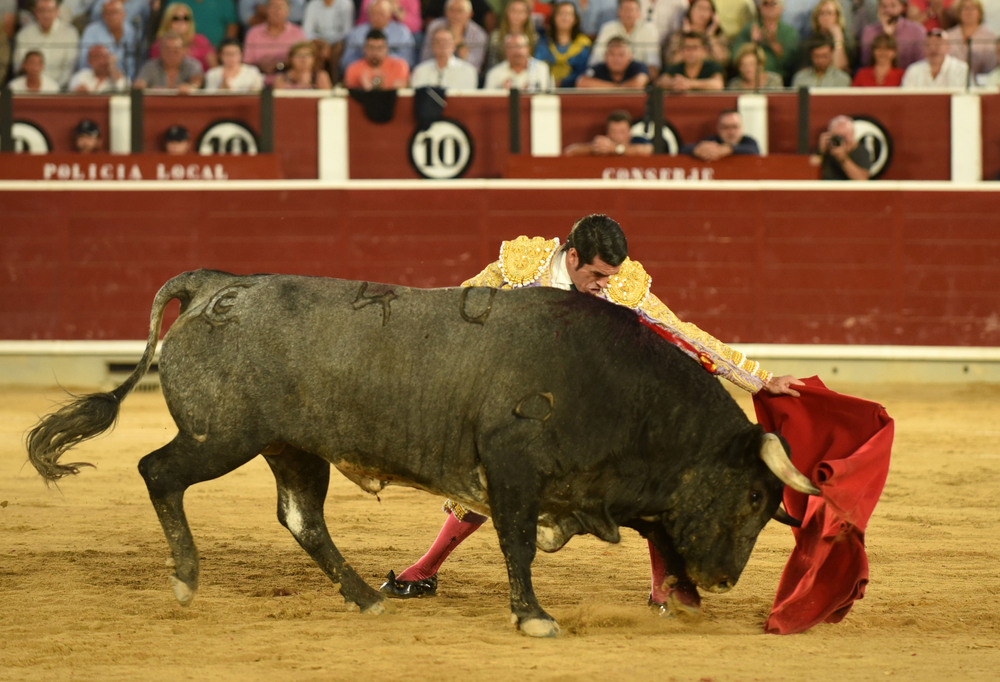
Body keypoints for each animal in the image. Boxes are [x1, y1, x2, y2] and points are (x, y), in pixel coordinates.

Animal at [27, 268, 816, 636]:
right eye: (753, 495)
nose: (723, 580)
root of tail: (216, 285)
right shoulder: (512, 470)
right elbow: (517, 543)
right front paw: (534, 617)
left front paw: (671, 597)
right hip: (222, 437)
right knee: (157, 471)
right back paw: (187, 578)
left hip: (292, 448)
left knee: (302, 519)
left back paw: (367, 597)